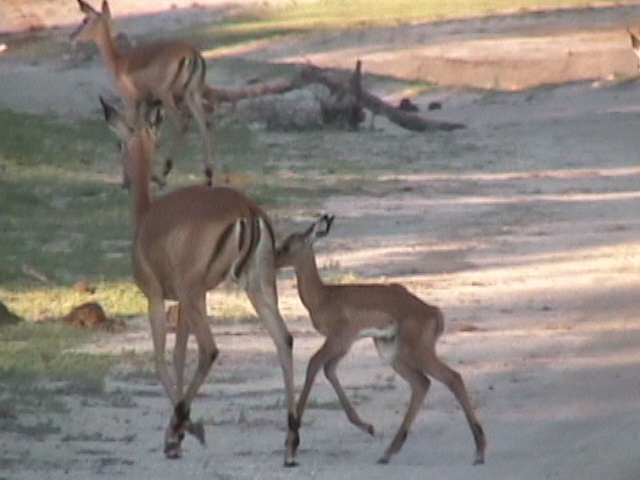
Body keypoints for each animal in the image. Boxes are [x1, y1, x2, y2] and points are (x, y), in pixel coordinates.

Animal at [72, 0, 215, 185]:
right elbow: (145, 133)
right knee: (205, 123)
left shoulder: (131, 102)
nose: (72, 36)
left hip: (167, 96)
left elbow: (128, 133)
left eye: (85, 19)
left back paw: (165, 172)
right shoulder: (146, 104)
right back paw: (208, 175)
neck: (118, 63)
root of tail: (193, 53)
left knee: (183, 123)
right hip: (192, 95)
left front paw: (129, 178)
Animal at [99, 97, 300, 465]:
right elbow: (179, 356)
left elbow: (161, 358)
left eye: (118, 142)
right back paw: (290, 446)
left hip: (199, 295)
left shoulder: (158, 297)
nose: (123, 179)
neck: (146, 218)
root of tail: (247, 210)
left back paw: (185, 425)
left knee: (209, 350)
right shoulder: (186, 302)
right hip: (257, 289)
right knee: (284, 340)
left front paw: (178, 435)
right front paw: (178, 434)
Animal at [275, 215, 486, 465]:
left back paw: (479, 452)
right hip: (391, 353)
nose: (272, 260)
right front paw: (368, 427)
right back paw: (387, 453)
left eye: (287, 245)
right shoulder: (344, 346)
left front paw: (291, 449)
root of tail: (434, 312)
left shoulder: (338, 340)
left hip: (416, 351)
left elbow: (314, 365)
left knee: (452, 377)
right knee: (422, 383)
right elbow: (329, 370)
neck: (323, 297)